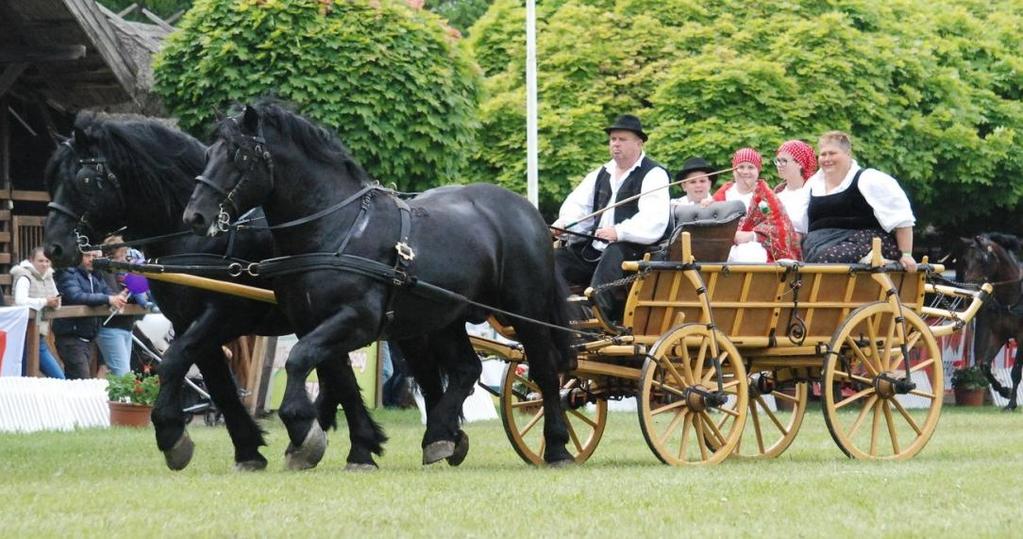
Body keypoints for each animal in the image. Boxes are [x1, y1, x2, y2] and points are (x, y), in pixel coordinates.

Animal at [39, 113, 384, 468]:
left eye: (84, 180)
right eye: (51, 178)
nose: (54, 248)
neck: (198, 239)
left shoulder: (223, 316)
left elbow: (173, 362)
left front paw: (171, 433)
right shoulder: (187, 322)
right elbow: (218, 383)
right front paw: (248, 449)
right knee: (334, 371)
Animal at [183, 102, 576, 468]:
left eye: (237, 155)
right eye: (208, 153)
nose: (195, 216)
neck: (337, 229)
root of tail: (527, 211)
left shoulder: (356, 320)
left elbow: (299, 360)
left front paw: (302, 430)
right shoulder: (314, 323)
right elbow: (338, 379)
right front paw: (359, 448)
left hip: (524, 311)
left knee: (544, 369)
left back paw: (557, 446)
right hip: (445, 318)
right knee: (467, 369)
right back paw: (439, 437)